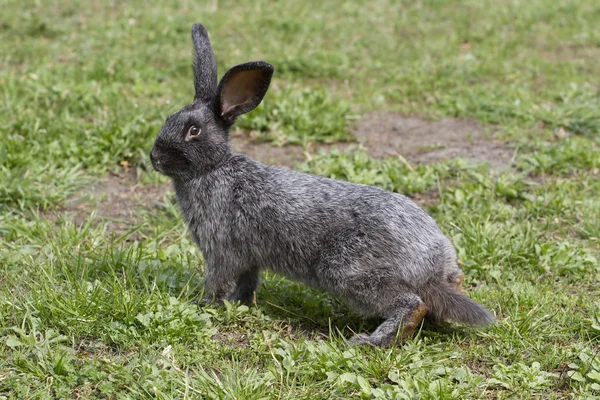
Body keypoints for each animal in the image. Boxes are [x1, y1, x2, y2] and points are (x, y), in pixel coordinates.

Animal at [149, 22, 492, 346]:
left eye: (193, 131)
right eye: (168, 119)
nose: (154, 157)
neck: (213, 169)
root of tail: (433, 264)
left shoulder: (222, 251)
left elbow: (219, 282)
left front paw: (204, 306)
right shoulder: (248, 260)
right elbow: (246, 285)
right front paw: (240, 305)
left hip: (348, 272)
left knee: (411, 304)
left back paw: (371, 341)